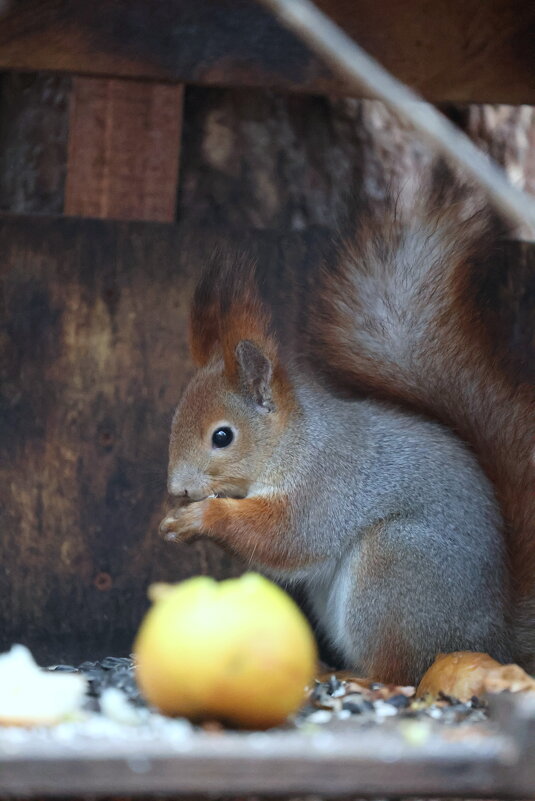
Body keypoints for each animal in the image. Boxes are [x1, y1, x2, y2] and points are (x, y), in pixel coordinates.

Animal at [161, 175, 532, 680]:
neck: (294, 442)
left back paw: (356, 679)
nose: (176, 488)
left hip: (396, 569)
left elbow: (288, 535)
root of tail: (491, 637)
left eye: (223, 436)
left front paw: (202, 518)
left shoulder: (326, 484)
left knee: (397, 672)